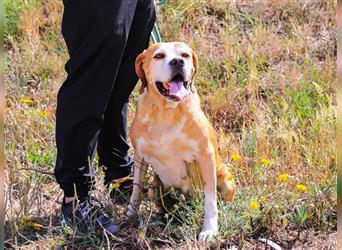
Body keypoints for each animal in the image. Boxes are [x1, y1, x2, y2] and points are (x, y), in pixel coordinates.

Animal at [128, 42, 235, 241]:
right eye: (159, 56)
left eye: (184, 55)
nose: (177, 62)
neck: (166, 112)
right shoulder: (140, 155)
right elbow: (136, 188)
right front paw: (131, 214)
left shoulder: (205, 156)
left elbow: (210, 200)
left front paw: (210, 229)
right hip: (154, 186)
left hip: (226, 179)